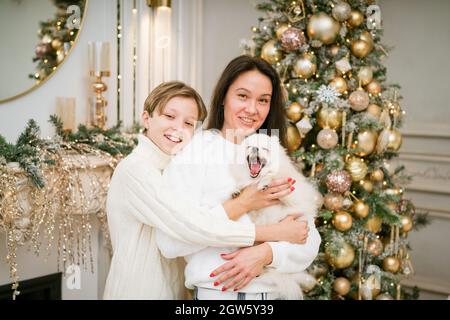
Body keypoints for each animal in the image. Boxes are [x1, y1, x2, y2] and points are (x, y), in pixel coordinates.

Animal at [230, 133, 322, 300]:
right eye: (249, 147)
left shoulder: (293, 195)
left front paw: (266, 182)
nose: (255, 148)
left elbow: (273, 179)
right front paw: (237, 190)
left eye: (264, 149)